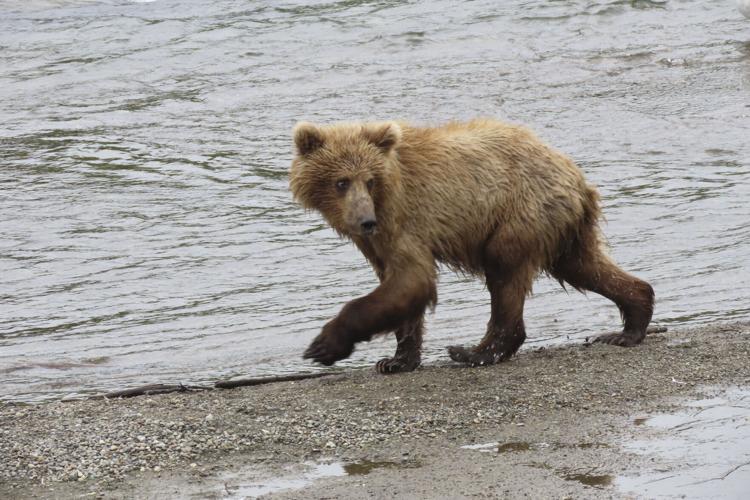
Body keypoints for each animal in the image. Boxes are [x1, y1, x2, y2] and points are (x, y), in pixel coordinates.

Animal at [289, 119, 654, 373]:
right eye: (341, 182)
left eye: (369, 180)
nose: (366, 220)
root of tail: (577, 176)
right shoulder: (379, 240)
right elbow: (399, 287)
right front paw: (395, 361)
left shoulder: (403, 218)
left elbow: (412, 279)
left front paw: (324, 345)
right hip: (562, 227)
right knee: (584, 266)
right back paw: (629, 325)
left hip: (520, 214)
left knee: (505, 272)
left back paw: (474, 352)